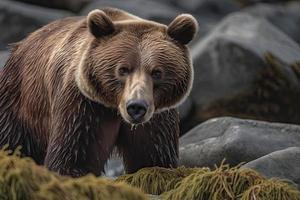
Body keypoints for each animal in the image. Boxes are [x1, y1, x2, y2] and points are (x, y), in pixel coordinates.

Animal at [0, 7, 198, 177]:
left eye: (157, 72)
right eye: (123, 69)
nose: (136, 107)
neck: (114, 107)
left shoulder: (158, 115)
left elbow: (152, 157)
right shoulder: (84, 106)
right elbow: (73, 156)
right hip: (20, 99)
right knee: (12, 138)